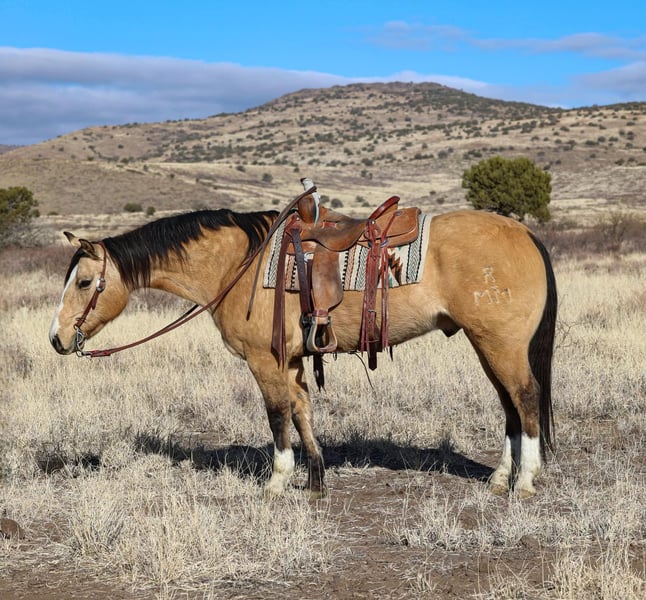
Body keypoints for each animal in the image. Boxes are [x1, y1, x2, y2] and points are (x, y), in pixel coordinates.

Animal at [49, 203, 557, 499]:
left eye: (84, 282)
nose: (57, 338)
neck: (240, 264)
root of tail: (526, 234)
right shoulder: (292, 361)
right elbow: (302, 411)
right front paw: (315, 478)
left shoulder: (264, 361)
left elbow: (277, 415)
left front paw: (277, 479)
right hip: (486, 344)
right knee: (509, 406)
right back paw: (500, 477)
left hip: (501, 344)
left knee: (526, 398)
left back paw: (526, 480)